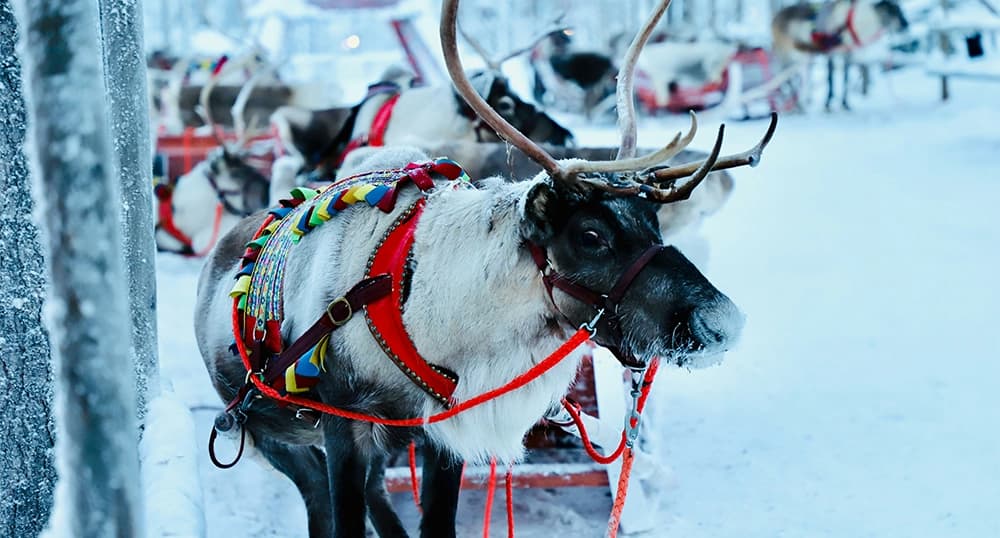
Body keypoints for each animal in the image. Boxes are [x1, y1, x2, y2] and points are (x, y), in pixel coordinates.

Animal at [195, 1, 776, 537]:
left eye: (654, 223)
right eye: (590, 236)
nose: (722, 323)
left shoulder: (439, 435)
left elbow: (436, 522)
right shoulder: (344, 431)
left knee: (377, 498)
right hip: (264, 433)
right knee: (319, 502)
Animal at [771, 0, 909, 111]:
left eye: (900, 10)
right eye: (895, 11)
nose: (906, 25)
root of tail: (775, 17)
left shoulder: (847, 55)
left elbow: (845, 79)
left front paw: (845, 104)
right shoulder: (831, 54)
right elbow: (830, 79)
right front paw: (827, 104)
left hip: (802, 59)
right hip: (787, 55)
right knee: (784, 78)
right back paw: (796, 105)